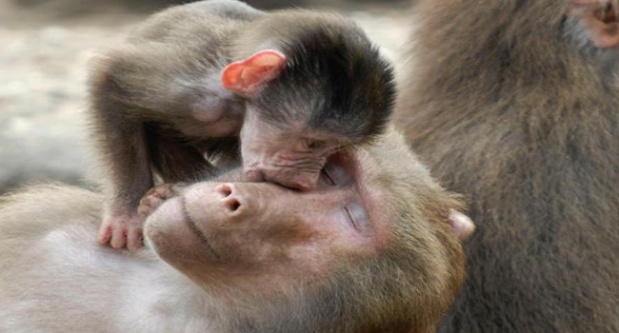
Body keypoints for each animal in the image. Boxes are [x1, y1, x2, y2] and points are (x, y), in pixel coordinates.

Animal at [89, 0, 394, 249]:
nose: (306, 182)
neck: (238, 106)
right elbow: (110, 77)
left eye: (332, 149)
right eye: (313, 143)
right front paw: (126, 214)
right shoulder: (196, 94)